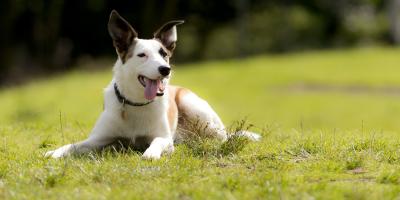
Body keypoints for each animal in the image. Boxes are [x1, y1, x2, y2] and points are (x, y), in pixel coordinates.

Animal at [45, 9, 260, 160]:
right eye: (142, 55)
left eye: (164, 54)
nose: (165, 69)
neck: (135, 103)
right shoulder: (97, 139)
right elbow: (74, 145)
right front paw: (55, 152)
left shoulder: (164, 138)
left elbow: (156, 142)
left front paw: (150, 153)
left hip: (195, 109)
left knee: (224, 138)